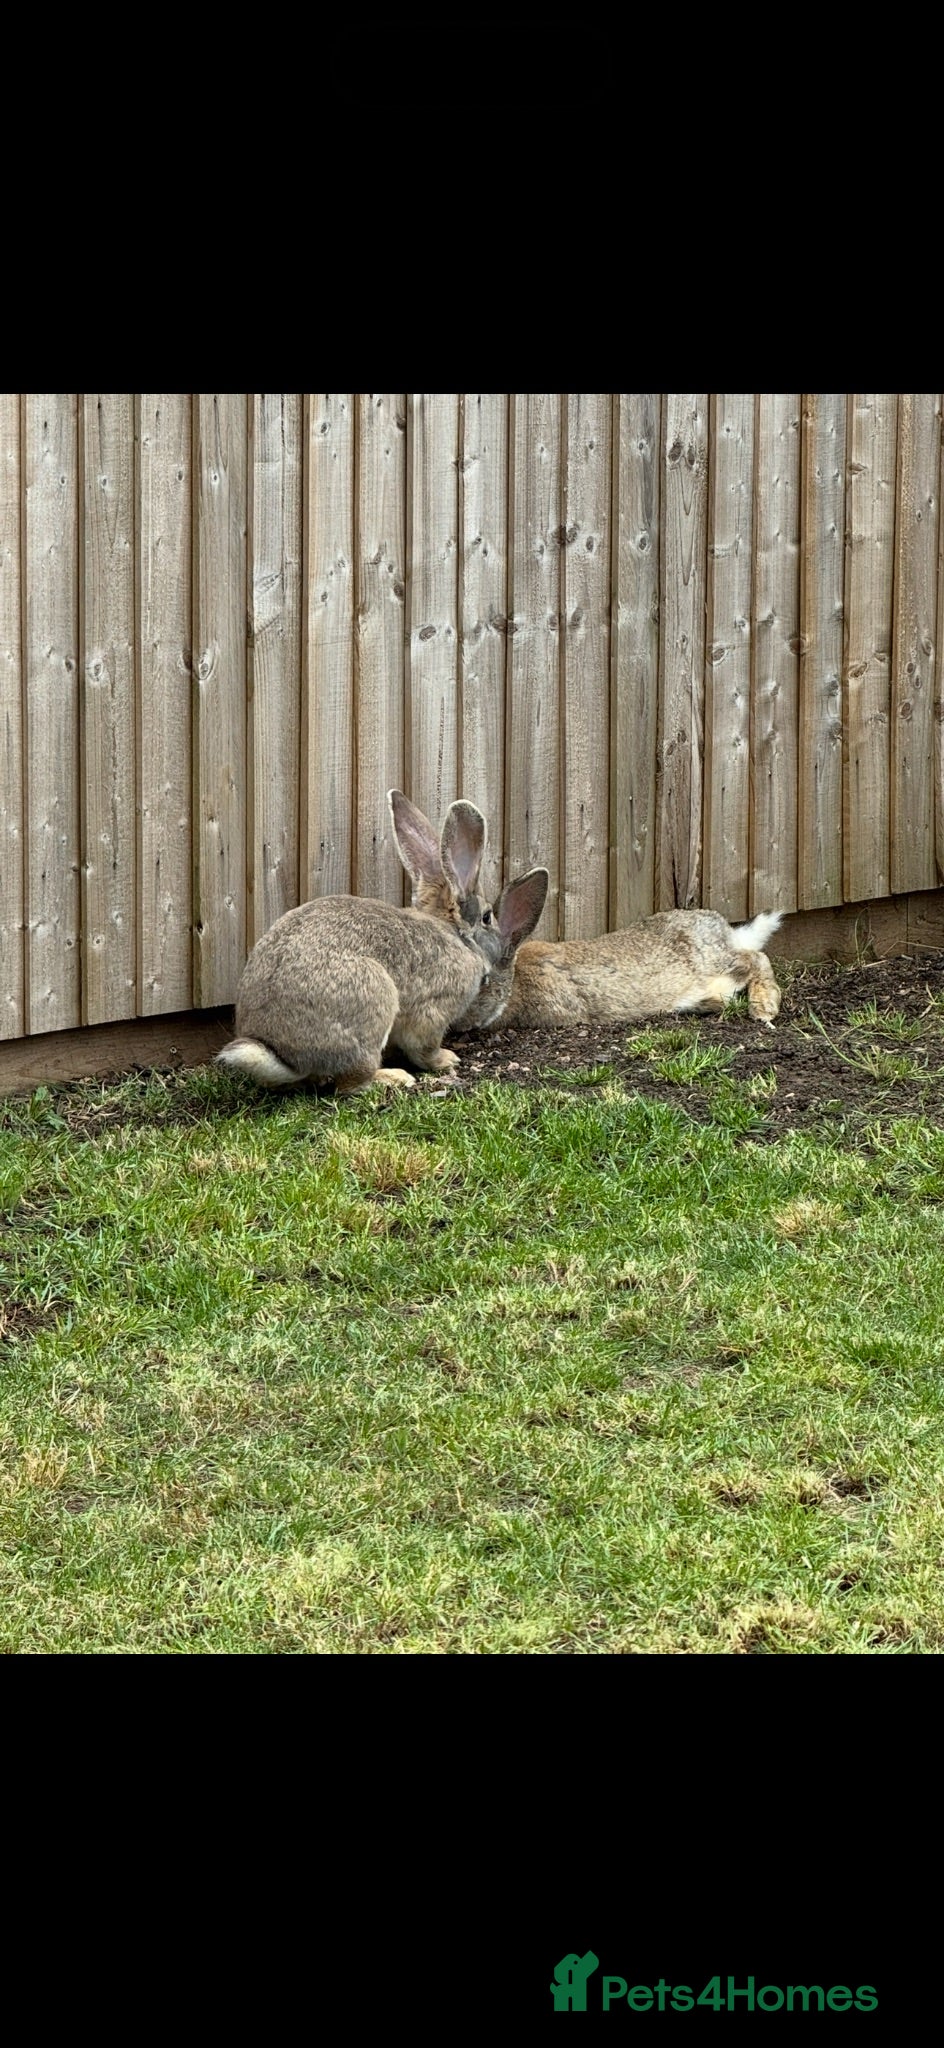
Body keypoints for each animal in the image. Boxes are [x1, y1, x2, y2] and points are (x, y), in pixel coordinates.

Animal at [216, 790, 500, 1094]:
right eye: (487, 917)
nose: (500, 945)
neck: (453, 932)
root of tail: (289, 1058)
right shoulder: (434, 1012)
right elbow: (424, 1048)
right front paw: (446, 1059)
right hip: (374, 1005)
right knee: (350, 1084)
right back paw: (393, 1077)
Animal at [461, 907, 784, 1032]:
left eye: (482, 981)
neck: (517, 978)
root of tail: (725, 930)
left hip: (712, 962)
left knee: (757, 958)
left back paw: (763, 1007)